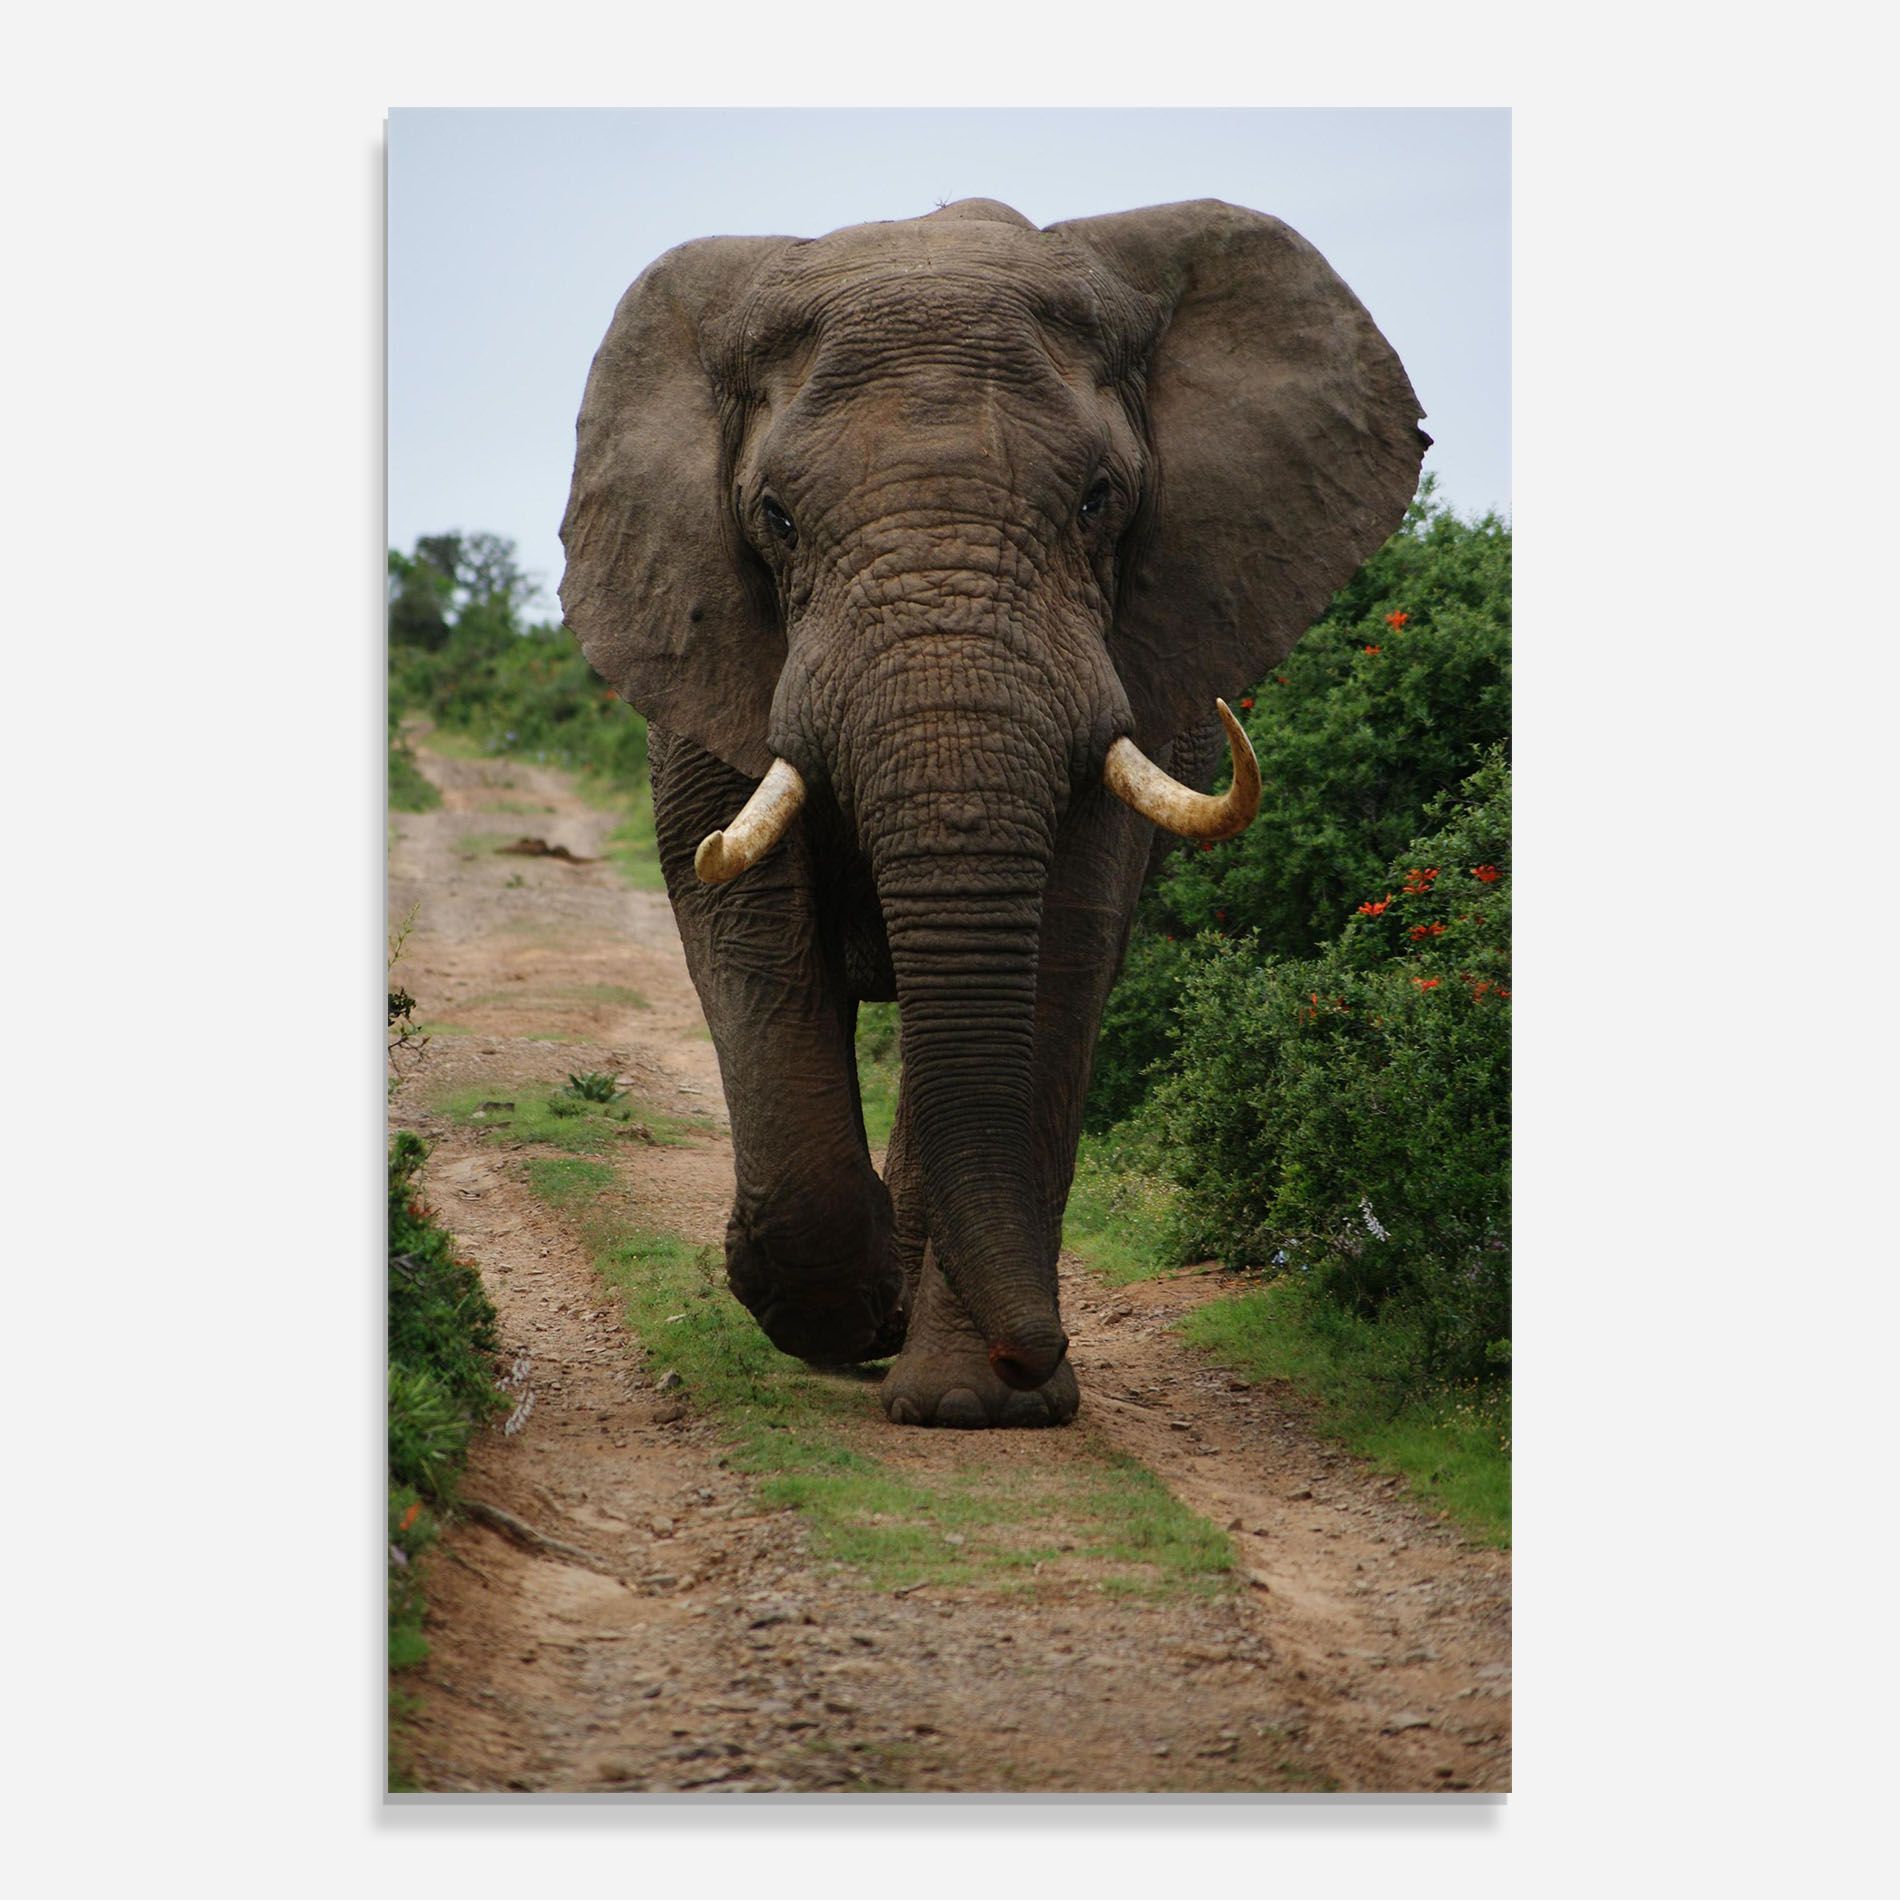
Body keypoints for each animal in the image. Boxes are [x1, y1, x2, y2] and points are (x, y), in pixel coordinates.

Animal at [559, 198, 1425, 1428]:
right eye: (774, 517)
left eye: (1100, 500)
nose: (1036, 1349)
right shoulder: (702, 639)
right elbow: (741, 919)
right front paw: (833, 1311)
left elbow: (1062, 945)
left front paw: (979, 1405)